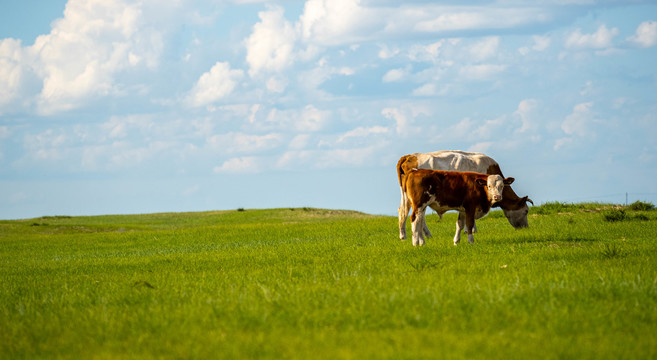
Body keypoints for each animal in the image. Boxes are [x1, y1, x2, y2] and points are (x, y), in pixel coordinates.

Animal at [398, 149, 532, 242]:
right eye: (526, 211)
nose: (526, 228)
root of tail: (410, 155)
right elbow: (469, 220)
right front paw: (470, 231)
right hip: (418, 199)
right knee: (411, 214)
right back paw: (412, 237)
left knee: (407, 212)